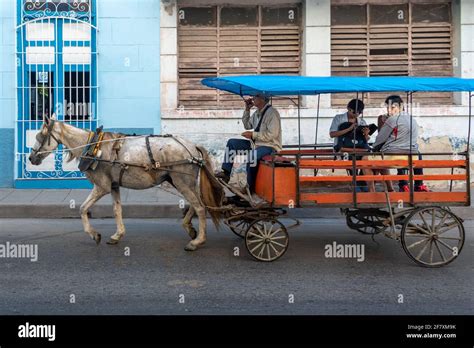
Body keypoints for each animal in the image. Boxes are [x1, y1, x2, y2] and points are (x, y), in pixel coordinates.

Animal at [28, 115, 223, 251]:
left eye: (40, 136)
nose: (31, 158)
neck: (92, 146)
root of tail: (192, 146)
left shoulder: (102, 186)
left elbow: (83, 208)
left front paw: (94, 235)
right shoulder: (114, 186)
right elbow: (117, 210)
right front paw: (117, 235)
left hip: (182, 181)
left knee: (200, 207)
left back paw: (197, 241)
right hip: (179, 181)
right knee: (196, 204)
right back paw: (189, 228)